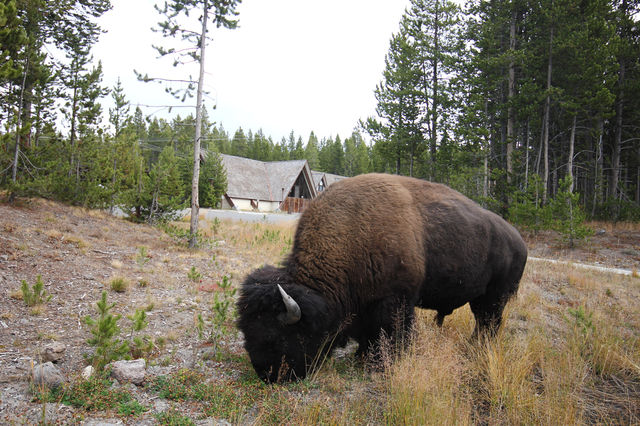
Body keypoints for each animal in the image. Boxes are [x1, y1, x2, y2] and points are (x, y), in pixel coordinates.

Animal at [238, 173, 528, 382]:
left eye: (275, 337)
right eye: (245, 330)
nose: (266, 376)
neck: (351, 236)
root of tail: (519, 241)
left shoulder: (395, 301)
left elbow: (392, 333)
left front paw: (383, 364)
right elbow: (368, 335)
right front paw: (361, 356)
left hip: (494, 297)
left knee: (488, 323)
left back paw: (476, 348)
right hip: (483, 298)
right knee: (485, 322)